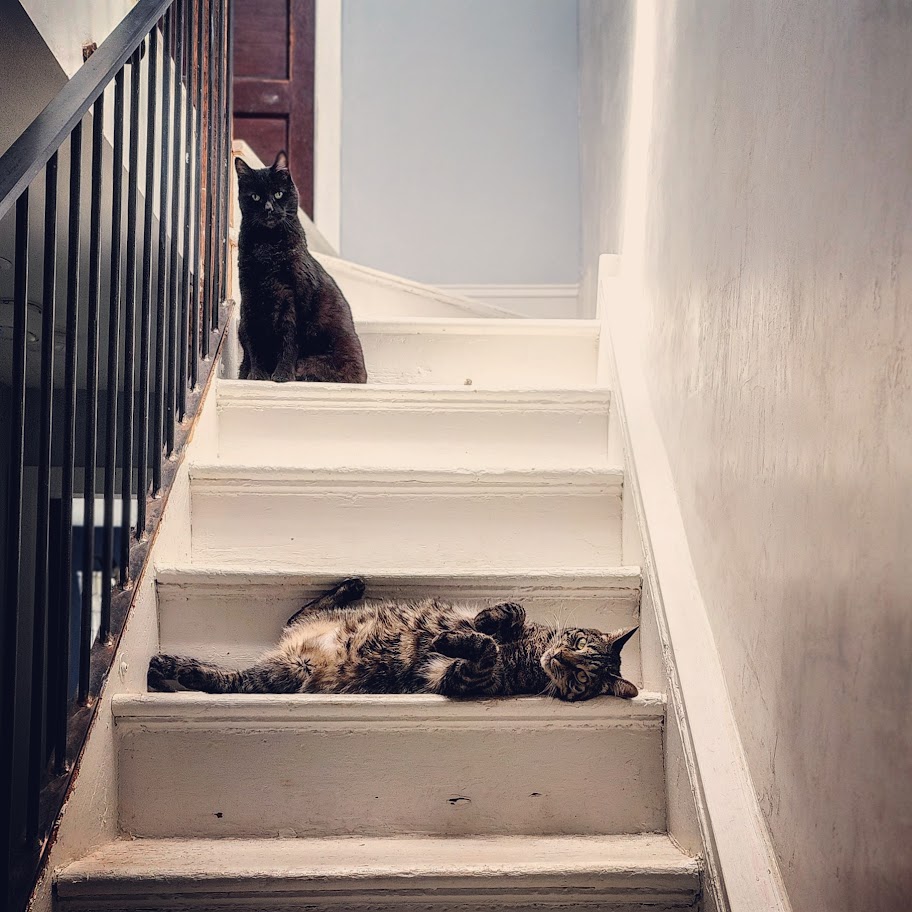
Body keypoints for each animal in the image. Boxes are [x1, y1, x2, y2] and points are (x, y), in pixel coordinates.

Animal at [148, 577, 639, 702]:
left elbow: (479, 648)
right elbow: (509, 613)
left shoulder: (463, 680)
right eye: (577, 643)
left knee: (224, 681)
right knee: (295, 614)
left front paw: (451, 638)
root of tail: (296, 649)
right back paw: (352, 585)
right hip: (313, 625)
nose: (560, 659)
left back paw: (171, 669)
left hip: (280, 674)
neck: (532, 652)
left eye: (582, 679)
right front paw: (487, 618)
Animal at [234, 151, 367, 383]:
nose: (269, 209)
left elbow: (289, 341)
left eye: (278, 194)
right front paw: (257, 375)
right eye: (255, 197)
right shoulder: (250, 296)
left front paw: (282, 375)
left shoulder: (294, 299)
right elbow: (255, 341)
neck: (267, 247)